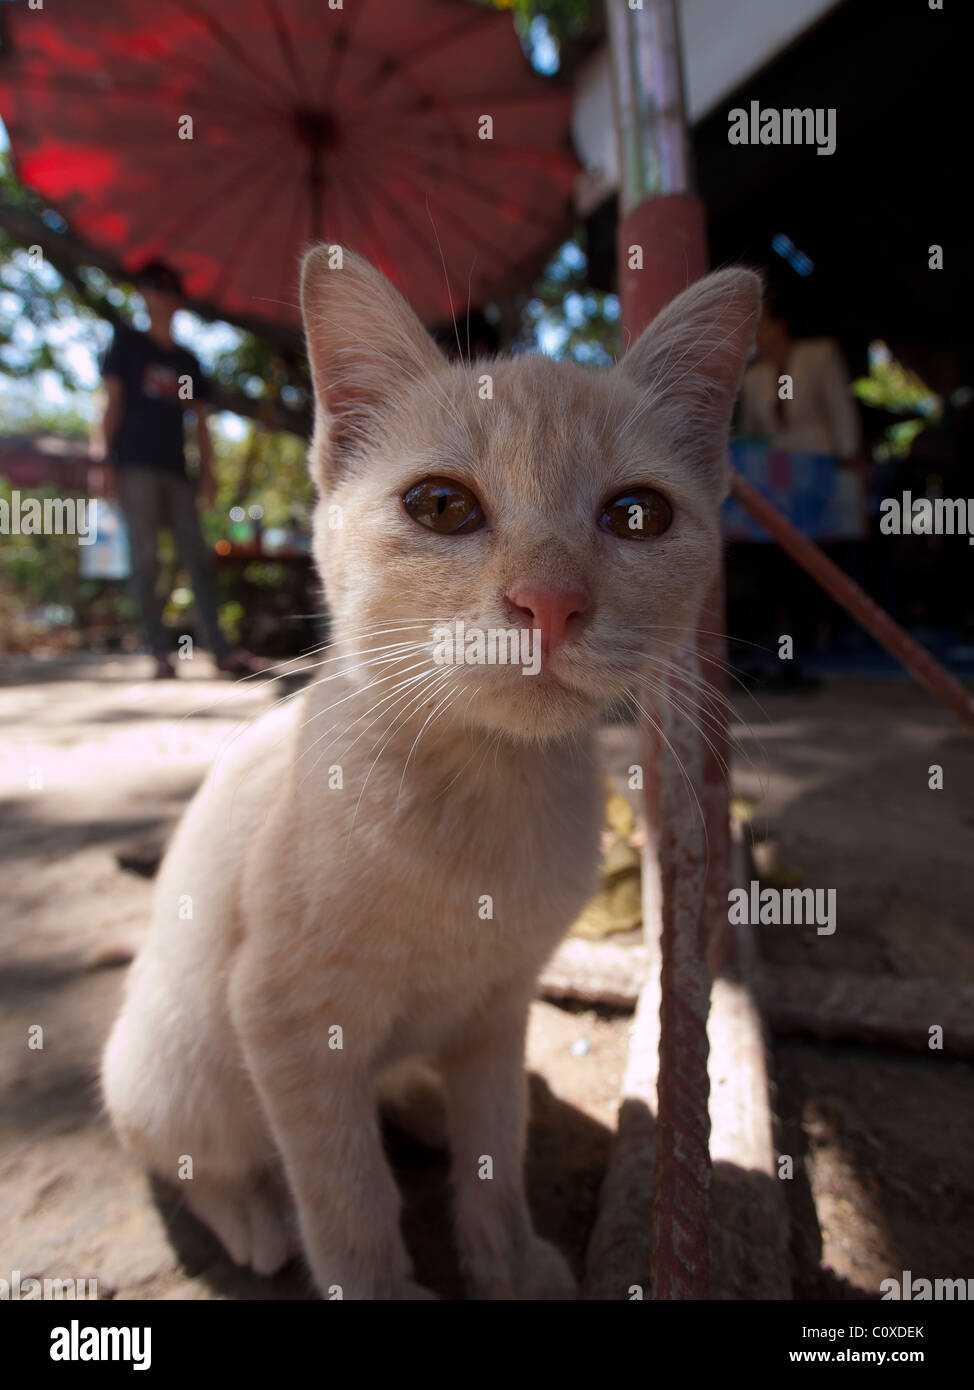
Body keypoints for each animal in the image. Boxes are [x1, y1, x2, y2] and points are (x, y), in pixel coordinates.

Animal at [100, 244, 761, 1295]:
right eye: (441, 506)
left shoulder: (498, 1007)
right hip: (175, 1066)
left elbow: (496, 1145)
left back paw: (414, 1102)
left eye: (637, 516)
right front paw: (375, 1279)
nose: (549, 600)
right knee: (193, 1156)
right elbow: (348, 1196)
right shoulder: (284, 1025)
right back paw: (252, 1218)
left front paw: (509, 1263)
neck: (482, 798)